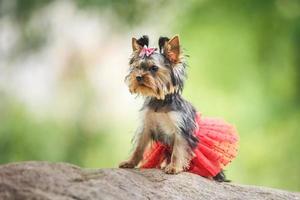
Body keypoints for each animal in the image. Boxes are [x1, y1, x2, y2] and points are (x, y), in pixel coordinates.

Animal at [119, 34, 239, 181]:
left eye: (154, 68)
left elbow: (178, 150)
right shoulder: (146, 126)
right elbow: (139, 148)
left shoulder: (181, 129)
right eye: (137, 67)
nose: (138, 77)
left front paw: (174, 168)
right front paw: (130, 162)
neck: (160, 102)